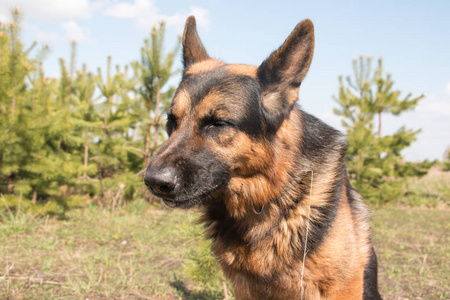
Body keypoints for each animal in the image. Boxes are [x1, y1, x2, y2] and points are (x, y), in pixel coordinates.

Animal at [146, 16, 382, 300]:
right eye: (171, 121)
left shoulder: (343, 288)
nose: (153, 181)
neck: (270, 198)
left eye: (218, 123)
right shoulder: (244, 288)